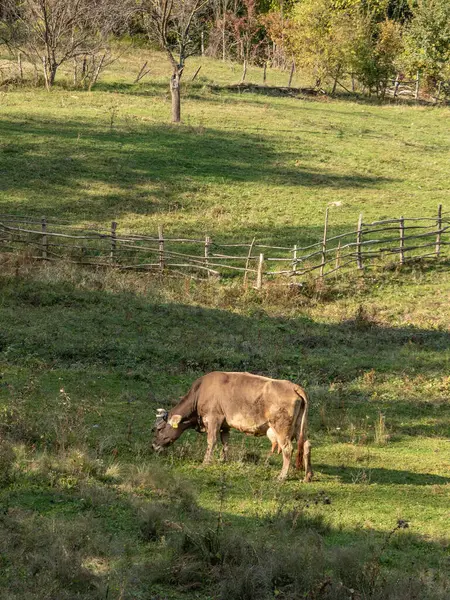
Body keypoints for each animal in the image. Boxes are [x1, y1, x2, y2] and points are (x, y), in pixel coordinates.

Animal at [151, 370, 312, 482]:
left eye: (158, 429)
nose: (153, 446)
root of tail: (293, 386)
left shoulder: (213, 418)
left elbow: (212, 441)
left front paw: (205, 463)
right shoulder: (225, 424)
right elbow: (225, 442)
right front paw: (223, 460)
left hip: (281, 427)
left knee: (288, 449)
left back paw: (282, 476)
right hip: (299, 427)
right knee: (306, 445)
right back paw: (308, 476)